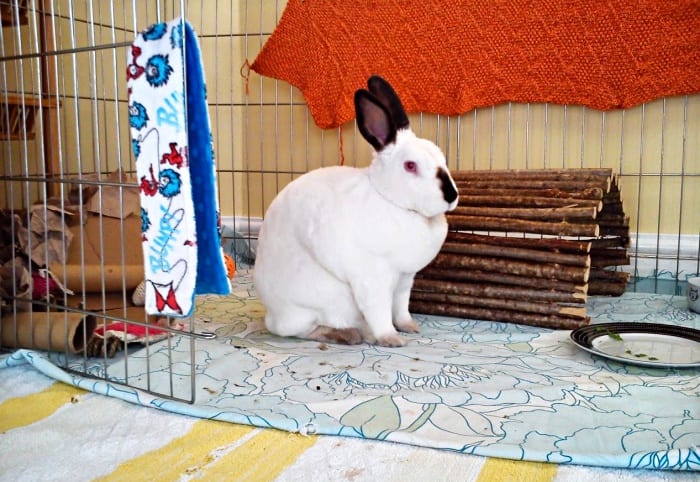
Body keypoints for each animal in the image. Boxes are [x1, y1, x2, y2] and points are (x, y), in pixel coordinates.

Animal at [253, 75, 459, 347]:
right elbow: (379, 311)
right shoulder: (372, 278)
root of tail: (270, 311)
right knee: (297, 330)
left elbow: (401, 308)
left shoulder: (405, 280)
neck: (391, 200)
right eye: (410, 166)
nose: (451, 196)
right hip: (314, 304)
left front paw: (410, 327)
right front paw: (391, 338)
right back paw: (348, 335)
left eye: (442, 157)